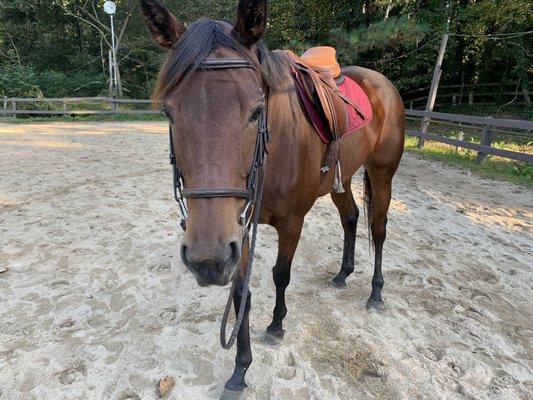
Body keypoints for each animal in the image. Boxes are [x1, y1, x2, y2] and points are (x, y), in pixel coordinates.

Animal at [140, 0, 404, 396]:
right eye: (168, 113)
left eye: (256, 111)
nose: (206, 259)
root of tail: (382, 82)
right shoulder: (238, 228)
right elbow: (240, 294)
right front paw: (240, 370)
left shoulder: (291, 221)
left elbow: (281, 275)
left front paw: (277, 326)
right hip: (341, 179)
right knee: (351, 217)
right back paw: (343, 274)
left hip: (382, 172)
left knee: (378, 227)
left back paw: (375, 293)